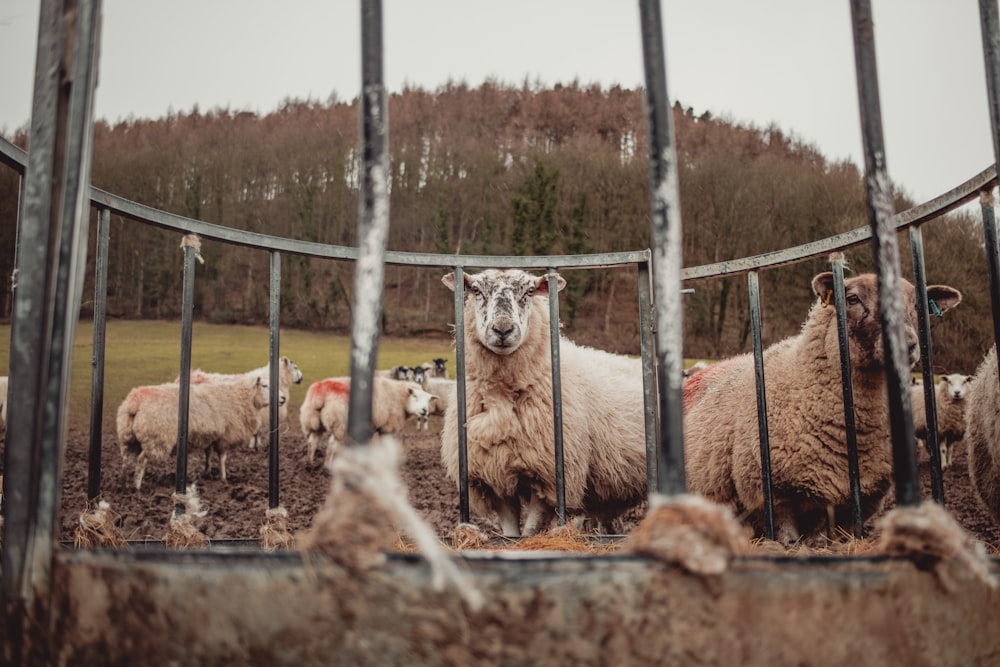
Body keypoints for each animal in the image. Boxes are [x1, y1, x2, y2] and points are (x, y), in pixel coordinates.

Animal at [116, 376, 270, 490]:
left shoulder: (211, 436)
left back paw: (123, 484)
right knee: (141, 460)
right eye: (264, 386)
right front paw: (223, 479)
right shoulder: (224, 437)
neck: (240, 397)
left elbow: (208, 454)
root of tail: (135, 400)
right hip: (156, 438)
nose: (278, 399)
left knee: (126, 460)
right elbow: (222, 458)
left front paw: (207, 472)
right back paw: (137, 487)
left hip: (129, 438)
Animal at [298, 376, 436, 470]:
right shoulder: (387, 427)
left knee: (312, 442)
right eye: (415, 396)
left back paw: (310, 464)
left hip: (313, 421)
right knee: (331, 444)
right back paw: (328, 467)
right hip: (338, 422)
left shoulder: (370, 426)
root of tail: (321, 391)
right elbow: (386, 446)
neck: (400, 397)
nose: (424, 410)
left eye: (428, 400)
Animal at [440, 268, 648, 536]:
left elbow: (529, 534)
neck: (502, 399)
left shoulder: (550, 478)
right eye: (476, 290)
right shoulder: (495, 476)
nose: (503, 329)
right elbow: (511, 535)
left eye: (529, 291)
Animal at [684, 272, 956, 544]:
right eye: (852, 298)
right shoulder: (773, 496)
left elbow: (820, 540)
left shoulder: (853, 503)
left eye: (918, 305)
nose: (907, 344)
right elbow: (789, 541)